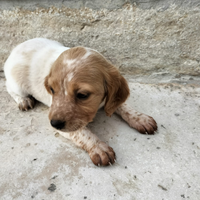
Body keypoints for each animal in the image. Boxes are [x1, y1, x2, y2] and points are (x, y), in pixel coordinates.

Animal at [2, 38, 156, 166]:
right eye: (51, 89)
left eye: (82, 95)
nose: (54, 124)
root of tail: (16, 48)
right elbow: (82, 133)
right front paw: (98, 147)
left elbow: (123, 106)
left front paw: (140, 118)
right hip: (17, 84)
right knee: (9, 87)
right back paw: (24, 100)